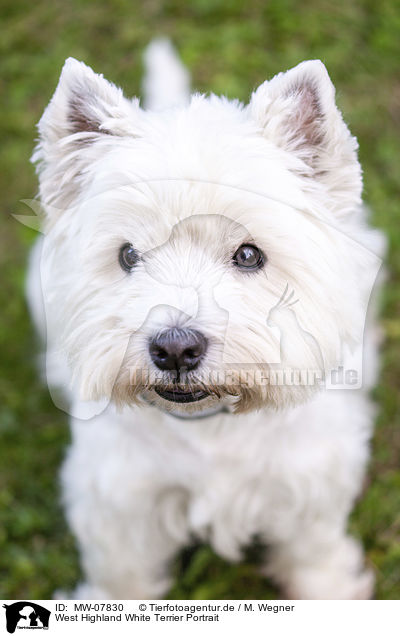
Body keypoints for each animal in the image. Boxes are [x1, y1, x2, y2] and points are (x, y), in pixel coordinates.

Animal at [26, 41, 386, 600]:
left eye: (248, 254)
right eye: (128, 255)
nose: (174, 349)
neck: (212, 424)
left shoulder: (307, 482)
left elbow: (313, 548)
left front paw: (330, 592)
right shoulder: (121, 500)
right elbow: (122, 572)